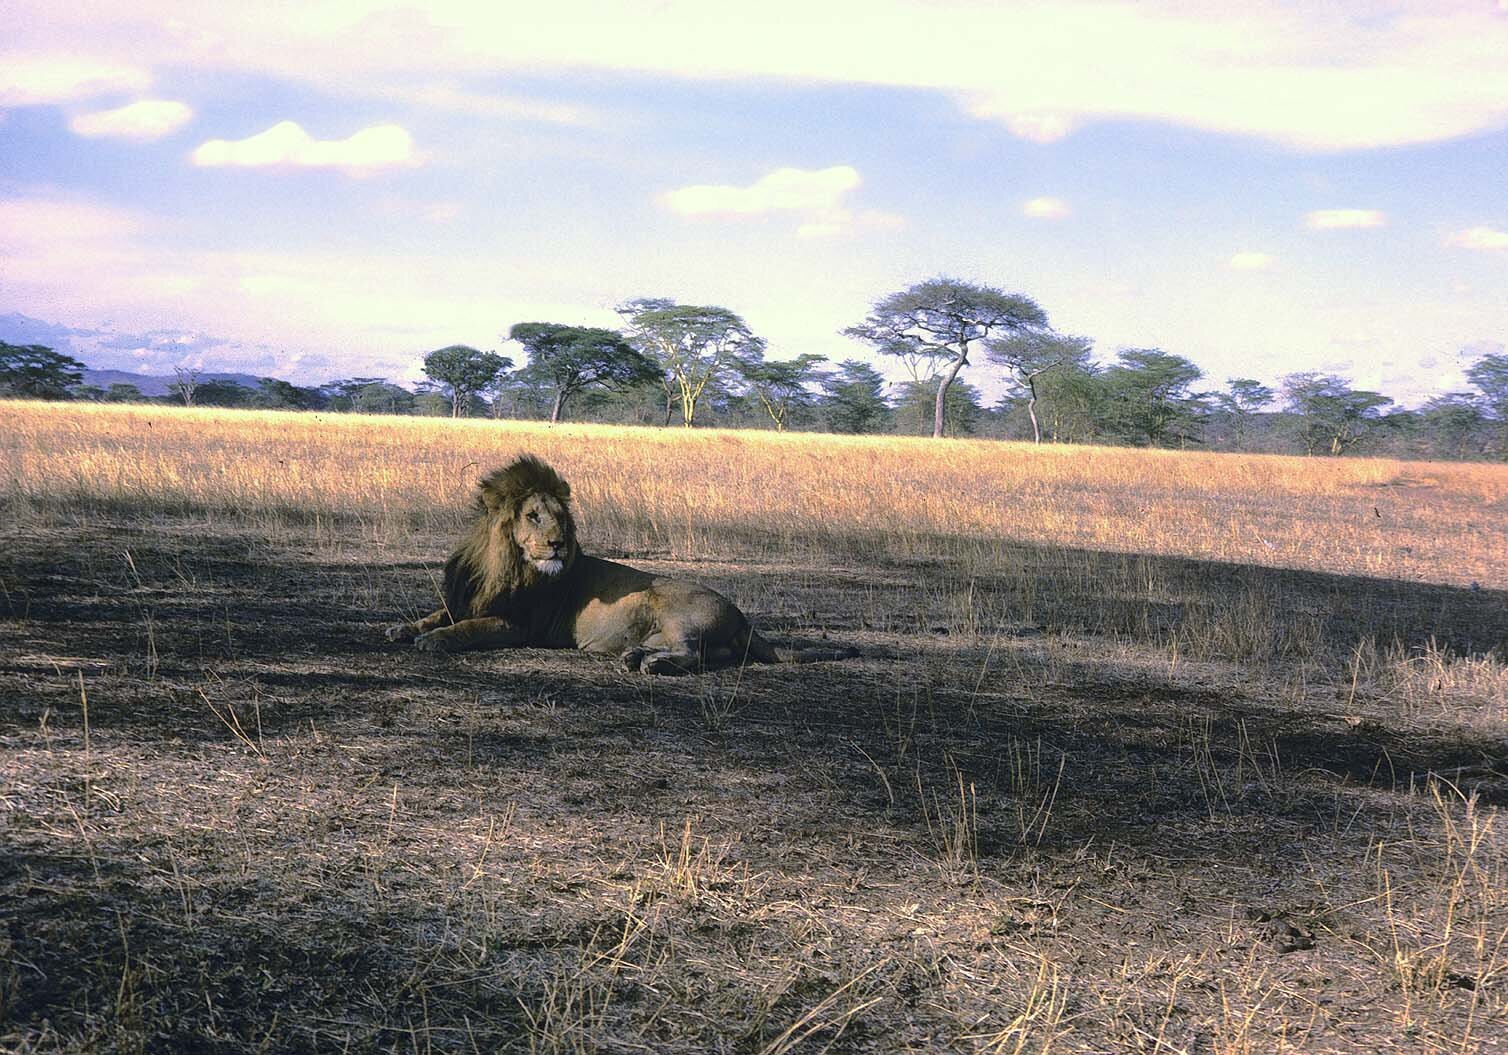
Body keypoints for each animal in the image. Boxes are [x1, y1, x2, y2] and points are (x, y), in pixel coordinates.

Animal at [383, 455, 856, 675]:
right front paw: (402, 629)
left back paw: (650, 665)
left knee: (691, 653)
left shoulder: (519, 625)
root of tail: (743, 615)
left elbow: (468, 628)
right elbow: (437, 614)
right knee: (705, 655)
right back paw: (636, 656)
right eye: (532, 516)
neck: (502, 562)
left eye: (561, 519)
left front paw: (433, 641)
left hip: (675, 607)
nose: (558, 544)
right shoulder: (467, 599)